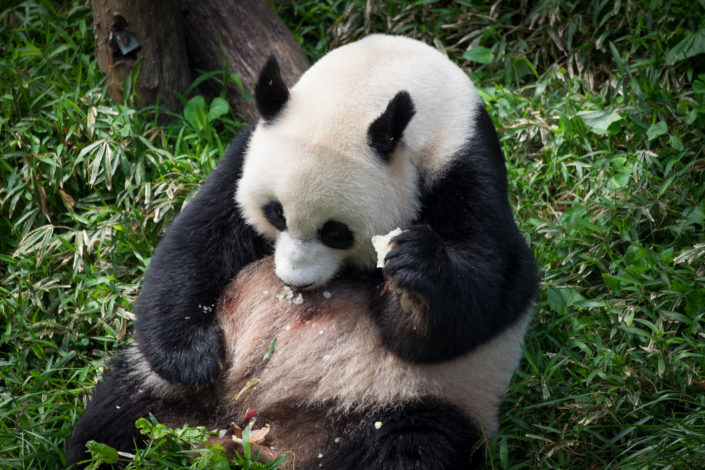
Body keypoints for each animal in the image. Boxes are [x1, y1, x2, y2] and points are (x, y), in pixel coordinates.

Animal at [67, 34, 537, 469]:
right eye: (275, 213)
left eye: (336, 232)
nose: (294, 281)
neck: (387, 77)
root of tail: (254, 432)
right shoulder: (245, 151)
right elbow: (197, 241)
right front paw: (194, 357)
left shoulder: (465, 165)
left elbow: (493, 286)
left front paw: (413, 268)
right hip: (160, 391)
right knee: (114, 416)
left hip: (412, 398)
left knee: (413, 447)